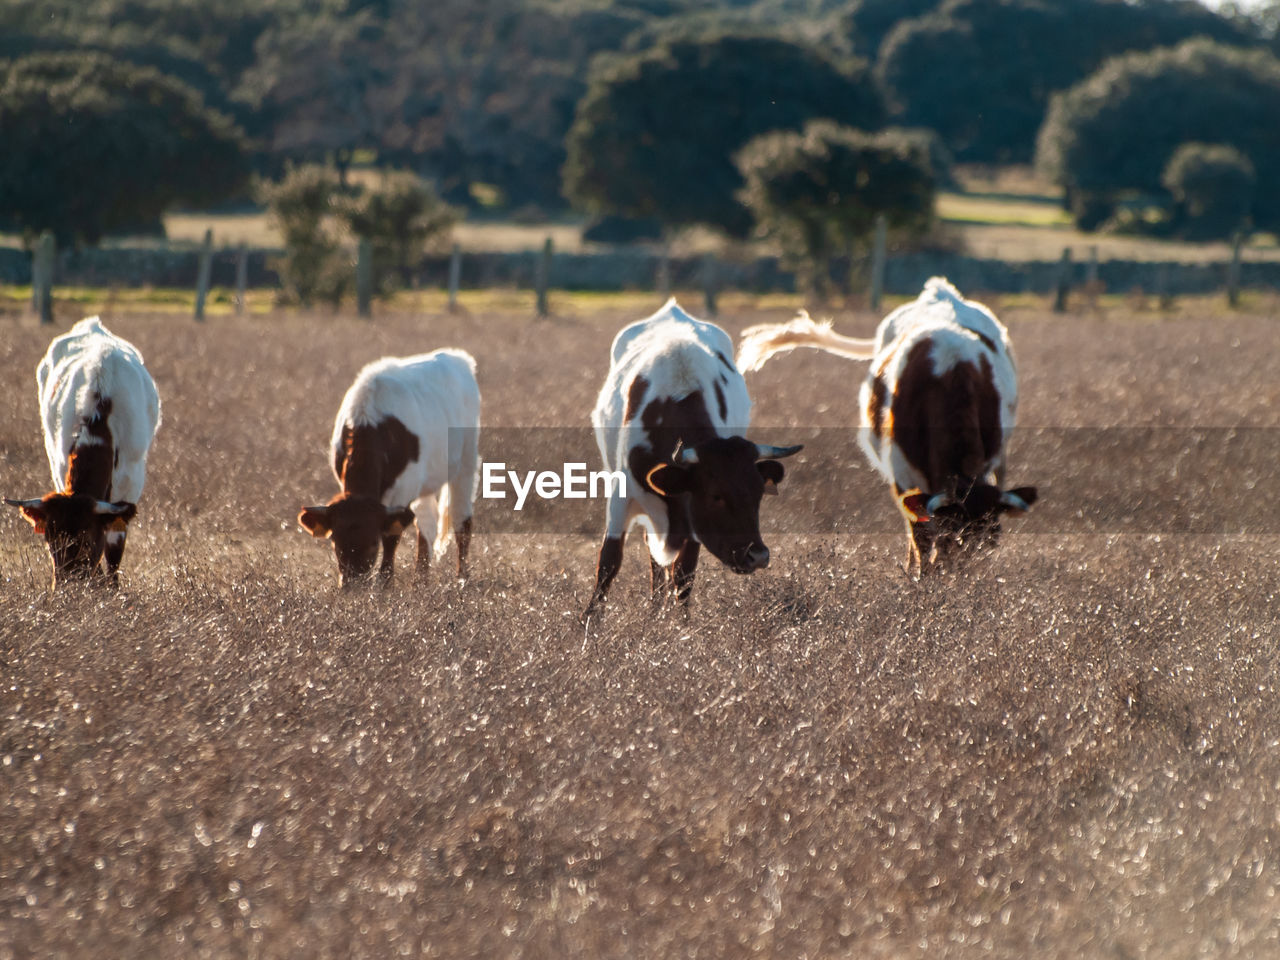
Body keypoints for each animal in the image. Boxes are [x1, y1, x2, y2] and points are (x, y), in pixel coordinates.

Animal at [4, 317, 162, 586]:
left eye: (87, 540)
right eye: (51, 541)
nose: (68, 588)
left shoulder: (131, 481)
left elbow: (115, 548)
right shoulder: (60, 465)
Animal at [296, 350, 481, 591]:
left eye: (373, 543)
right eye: (335, 541)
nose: (352, 585)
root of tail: (456, 357)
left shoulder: (403, 490)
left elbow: (392, 537)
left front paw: (385, 583)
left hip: (466, 462)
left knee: (461, 521)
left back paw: (462, 579)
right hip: (427, 481)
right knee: (427, 525)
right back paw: (420, 581)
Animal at [586, 296, 803, 619]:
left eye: (758, 495)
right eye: (716, 496)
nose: (758, 555)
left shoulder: (690, 519)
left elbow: (683, 574)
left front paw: (680, 626)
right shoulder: (620, 496)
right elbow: (609, 562)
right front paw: (589, 624)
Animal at [737, 277, 1034, 578]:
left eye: (990, 540)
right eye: (950, 535)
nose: (964, 578)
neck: (951, 376)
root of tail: (940, 292)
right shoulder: (902, 473)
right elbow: (920, 536)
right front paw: (920, 578)